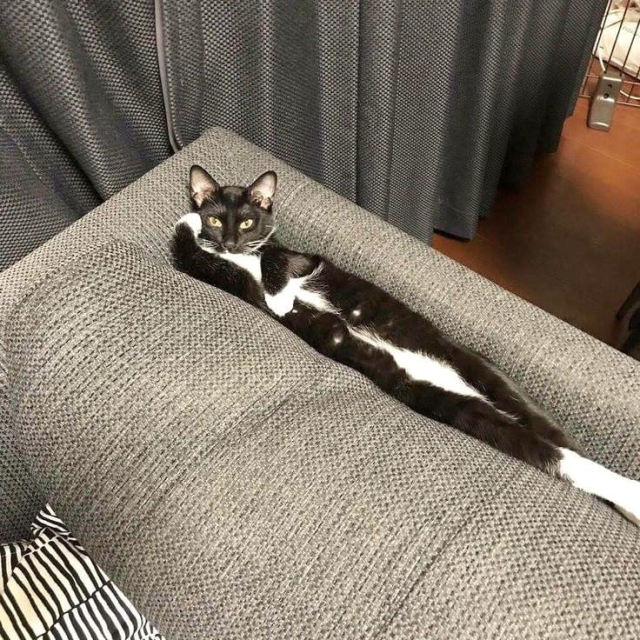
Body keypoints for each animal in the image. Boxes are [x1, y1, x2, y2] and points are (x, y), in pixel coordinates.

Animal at [172, 165, 640, 524]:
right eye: (219, 221)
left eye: (247, 221)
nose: (229, 240)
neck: (239, 258)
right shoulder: (210, 269)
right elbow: (187, 247)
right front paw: (199, 224)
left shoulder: (304, 257)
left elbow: (276, 257)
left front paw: (280, 296)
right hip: (452, 405)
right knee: (558, 454)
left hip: (485, 373)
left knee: (559, 442)